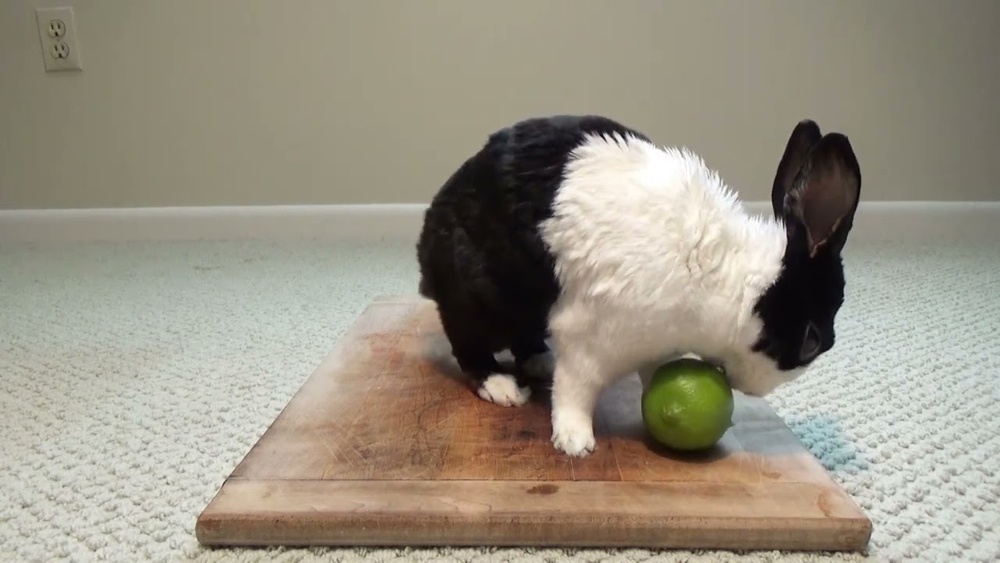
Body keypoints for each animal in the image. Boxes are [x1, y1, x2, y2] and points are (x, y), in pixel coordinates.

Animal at [415, 114, 861, 457]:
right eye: (811, 341)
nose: (757, 391)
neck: (725, 279)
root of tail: (428, 241)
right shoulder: (589, 338)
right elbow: (575, 390)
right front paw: (574, 441)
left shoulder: (654, 346)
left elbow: (652, 376)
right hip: (481, 297)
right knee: (467, 344)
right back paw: (502, 386)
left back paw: (539, 361)